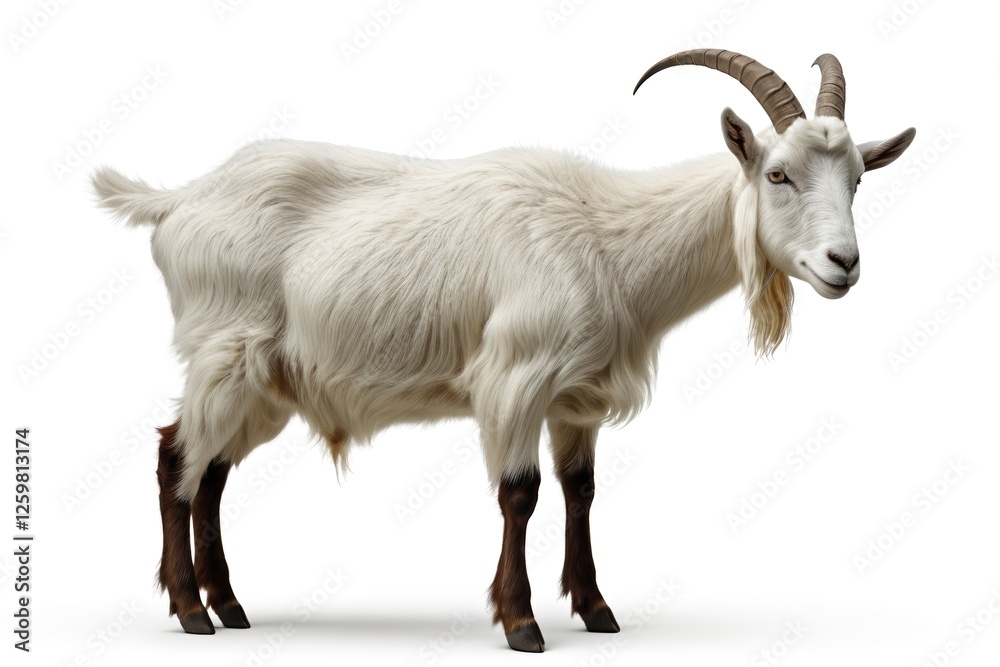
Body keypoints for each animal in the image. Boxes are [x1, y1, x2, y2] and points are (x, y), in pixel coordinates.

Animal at [91, 49, 914, 652]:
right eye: (778, 174)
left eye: (858, 179)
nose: (844, 264)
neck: (608, 239)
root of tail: (178, 200)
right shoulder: (515, 378)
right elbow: (520, 493)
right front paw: (521, 623)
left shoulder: (576, 397)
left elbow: (580, 492)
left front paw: (596, 608)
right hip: (223, 353)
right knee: (174, 456)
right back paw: (191, 610)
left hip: (266, 384)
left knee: (210, 472)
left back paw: (228, 604)